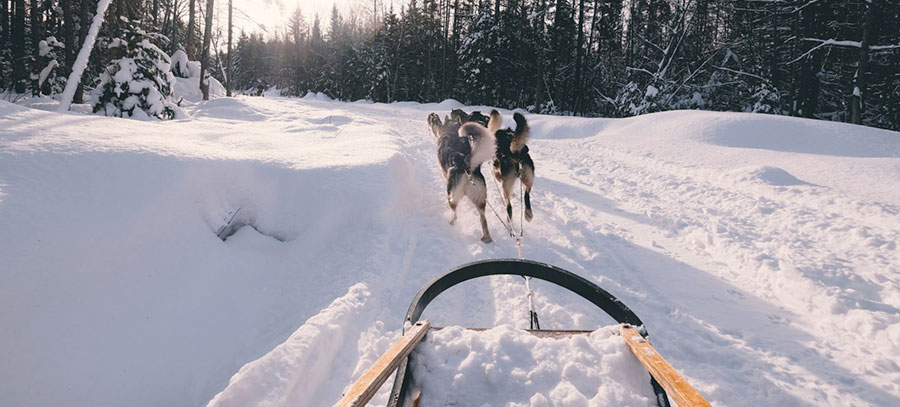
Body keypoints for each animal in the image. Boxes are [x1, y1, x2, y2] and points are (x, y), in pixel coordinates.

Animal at [428, 110, 496, 242]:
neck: (451, 131)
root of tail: (465, 166)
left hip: (451, 196)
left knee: (455, 214)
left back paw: (451, 223)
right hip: (480, 200)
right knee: (483, 219)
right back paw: (487, 238)